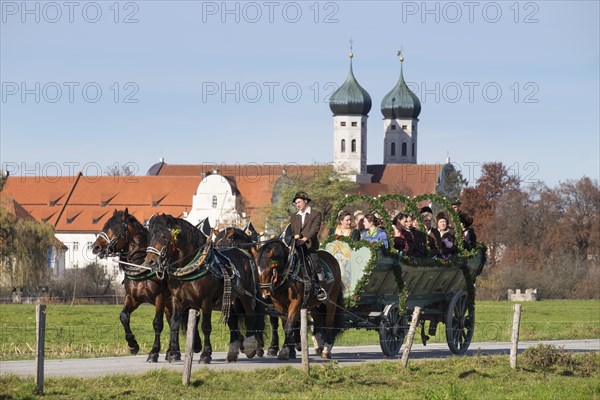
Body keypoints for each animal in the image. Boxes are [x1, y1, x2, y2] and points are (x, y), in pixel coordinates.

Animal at [91, 209, 198, 362]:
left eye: (115, 229)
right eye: (105, 226)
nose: (96, 247)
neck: (142, 264)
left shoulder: (159, 297)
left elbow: (157, 324)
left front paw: (153, 352)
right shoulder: (133, 298)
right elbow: (124, 316)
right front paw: (132, 345)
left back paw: (188, 348)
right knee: (172, 321)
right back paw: (172, 352)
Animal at [145, 214, 262, 364]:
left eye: (164, 236)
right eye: (150, 237)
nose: (150, 262)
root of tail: (245, 254)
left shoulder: (206, 300)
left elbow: (205, 326)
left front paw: (205, 355)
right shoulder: (177, 300)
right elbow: (174, 323)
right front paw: (173, 353)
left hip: (247, 296)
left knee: (250, 317)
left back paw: (250, 347)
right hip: (230, 300)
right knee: (233, 322)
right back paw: (232, 353)